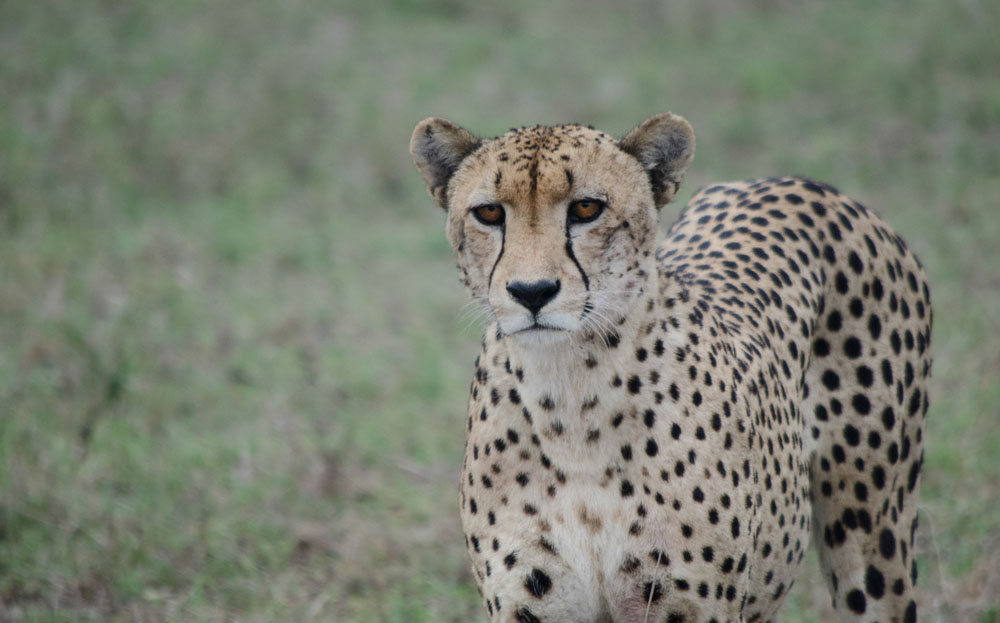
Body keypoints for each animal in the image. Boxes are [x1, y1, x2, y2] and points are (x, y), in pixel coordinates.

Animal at [408, 113, 928, 623]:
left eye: (586, 209)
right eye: (490, 213)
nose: (531, 291)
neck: (570, 397)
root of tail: (799, 182)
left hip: (873, 541)